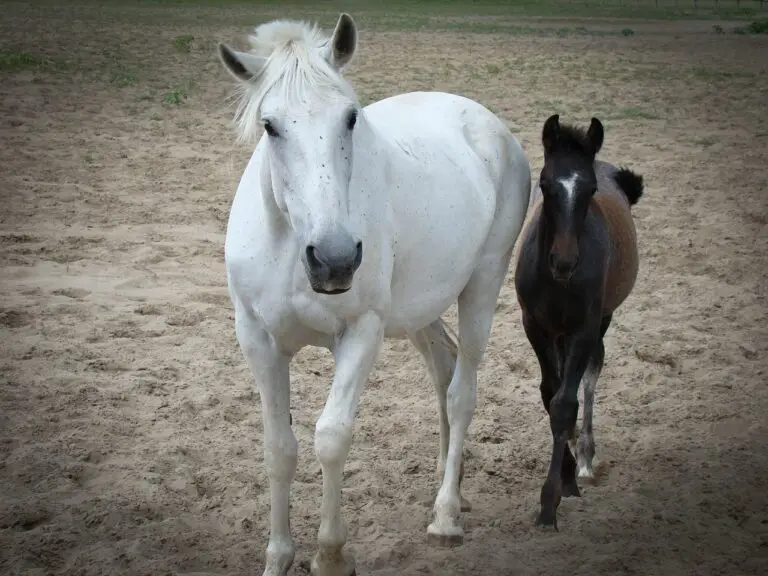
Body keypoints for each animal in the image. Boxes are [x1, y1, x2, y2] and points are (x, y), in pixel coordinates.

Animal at [216, 13, 528, 576]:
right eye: (270, 125)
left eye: (350, 118)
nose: (334, 259)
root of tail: (487, 125)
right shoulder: (256, 337)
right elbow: (279, 449)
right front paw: (278, 556)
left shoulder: (362, 331)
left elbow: (331, 438)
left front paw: (331, 555)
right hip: (420, 310)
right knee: (444, 371)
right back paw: (451, 488)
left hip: (483, 285)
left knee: (462, 391)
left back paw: (446, 514)